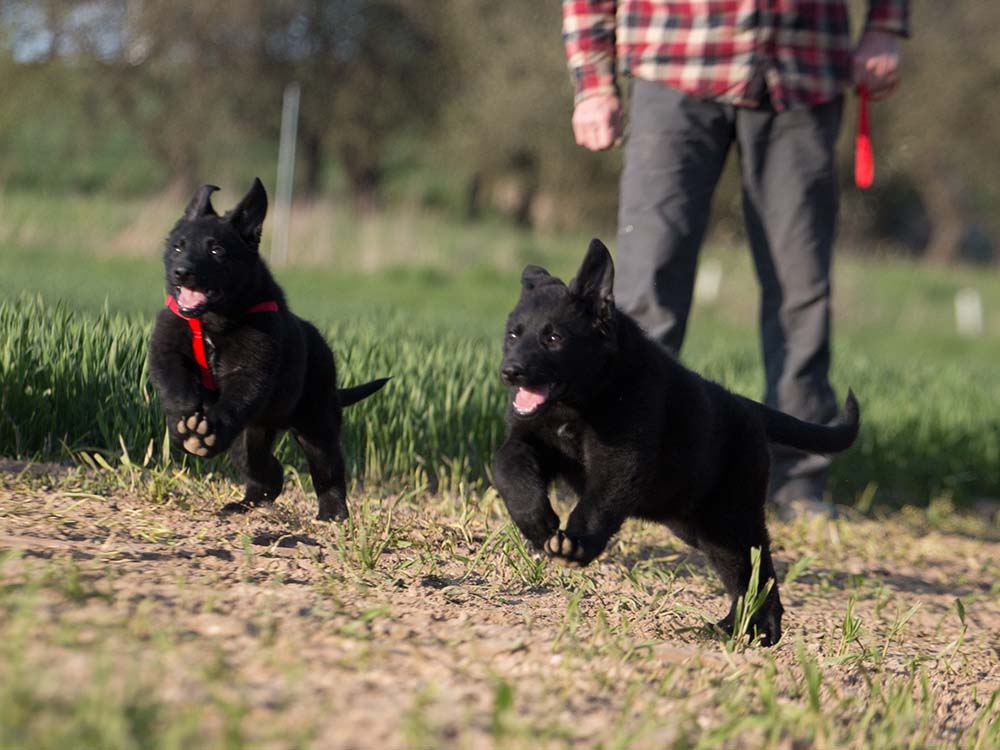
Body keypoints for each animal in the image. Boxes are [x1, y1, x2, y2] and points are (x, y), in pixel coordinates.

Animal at [150, 181, 388, 524]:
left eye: (216, 250)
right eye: (178, 247)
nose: (182, 272)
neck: (214, 324)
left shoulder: (252, 369)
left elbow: (233, 401)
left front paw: (204, 431)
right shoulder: (165, 347)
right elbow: (175, 385)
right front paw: (184, 426)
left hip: (317, 424)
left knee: (327, 470)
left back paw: (333, 515)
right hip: (251, 436)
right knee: (268, 473)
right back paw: (244, 504)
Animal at [492, 241, 860, 648]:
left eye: (553, 338)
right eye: (513, 335)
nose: (510, 371)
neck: (584, 398)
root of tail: (748, 407)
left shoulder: (622, 458)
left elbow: (597, 503)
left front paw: (576, 543)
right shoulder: (532, 439)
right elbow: (505, 465)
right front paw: (536, 522)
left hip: (731, 514)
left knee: (757, 567)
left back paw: (758, 631)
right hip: (698, 524)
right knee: (741, 570)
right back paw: (735, 627)